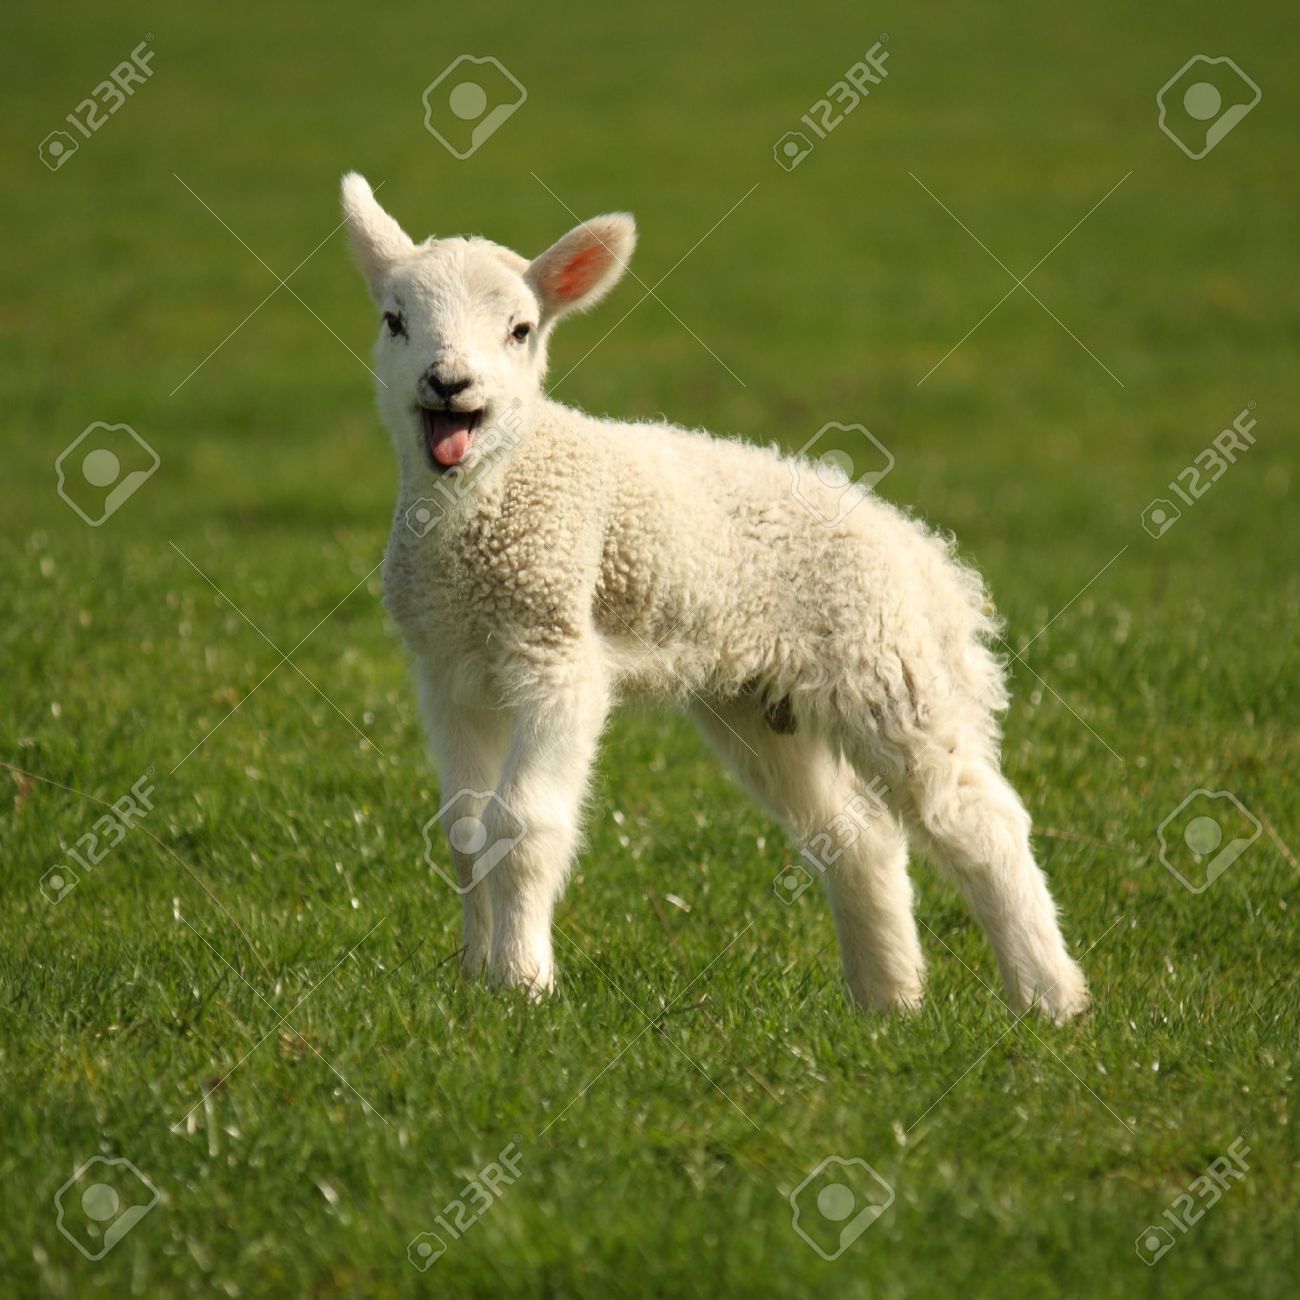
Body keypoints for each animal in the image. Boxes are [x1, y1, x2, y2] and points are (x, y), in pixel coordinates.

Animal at [340, 171, 1090, 1023]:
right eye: (394, 320)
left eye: (521, 330)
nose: (449, 384)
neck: (485, 507)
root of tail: (920, 552)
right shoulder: (448, 665)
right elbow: (467, 830)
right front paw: (473, 977)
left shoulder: (556, 650)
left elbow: (523, 825)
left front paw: (523, 984)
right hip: (758, 700)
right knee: (857, 835)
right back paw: (888, 1001)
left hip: (885, 662)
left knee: (976, 817)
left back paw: (1050, 998)